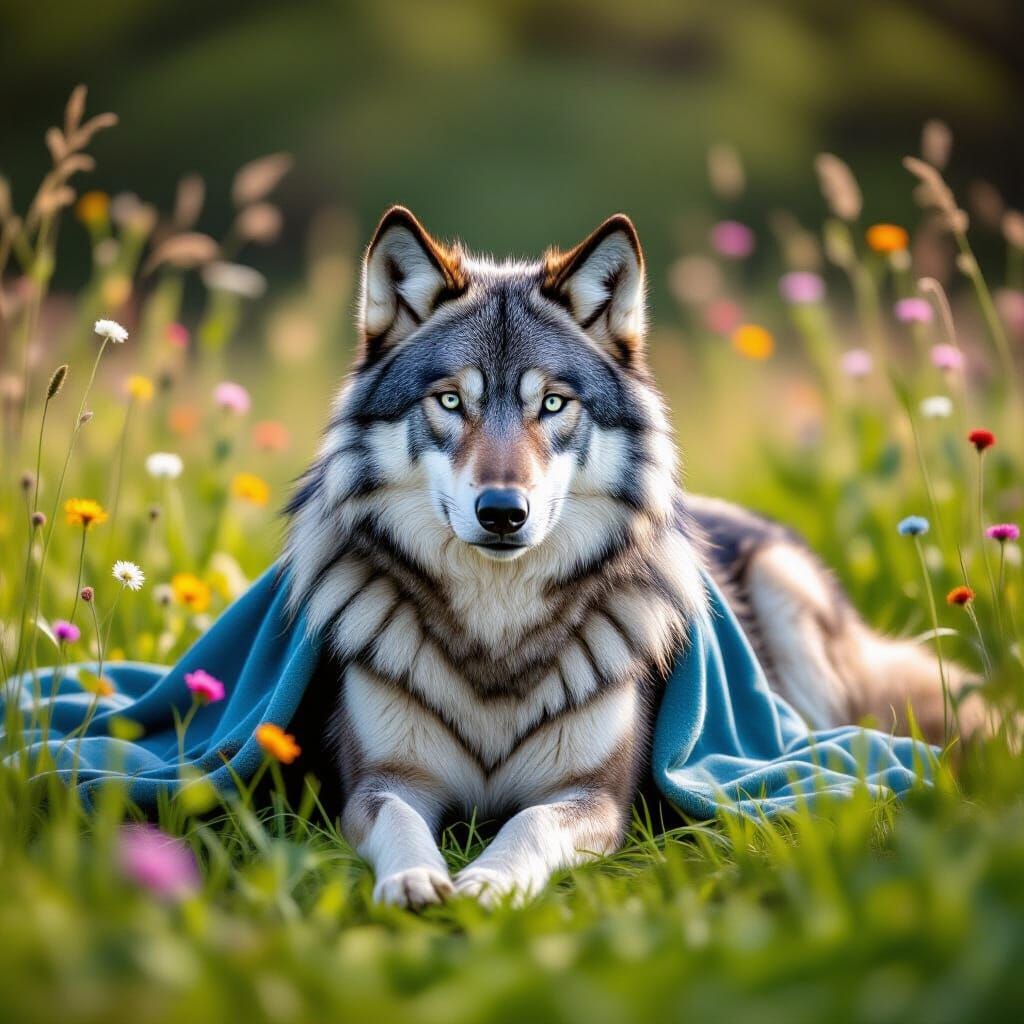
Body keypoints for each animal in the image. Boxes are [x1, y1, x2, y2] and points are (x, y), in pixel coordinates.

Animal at [283, 206, 967, 908]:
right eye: (450, 401)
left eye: (553, 403)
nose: (502, 511)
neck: (497, 637)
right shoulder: (381, 781)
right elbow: (396, 817)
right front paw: (414, 879)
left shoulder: (596, 798)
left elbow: (529, 823)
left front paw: (490, 883)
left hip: (789, 604)